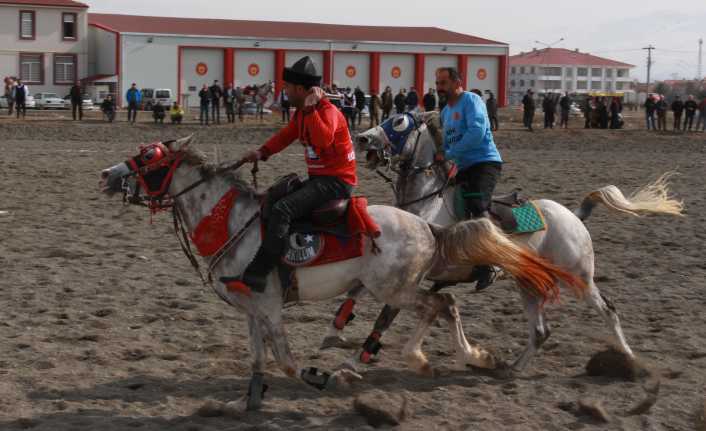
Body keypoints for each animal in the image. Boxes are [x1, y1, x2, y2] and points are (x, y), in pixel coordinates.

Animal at [328, 111, 680, 374]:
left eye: (399, 121)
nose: (362, 138)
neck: (426, 206)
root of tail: (573, 215)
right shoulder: (388, 270)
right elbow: (356, 293)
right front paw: (338, 330)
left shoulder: (417, 278)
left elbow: (386, 314)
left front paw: (356, 358)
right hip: (529, 283)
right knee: (541, 331)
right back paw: (511, 368)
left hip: (579, 276)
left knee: (608, 310)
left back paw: (630, 359)